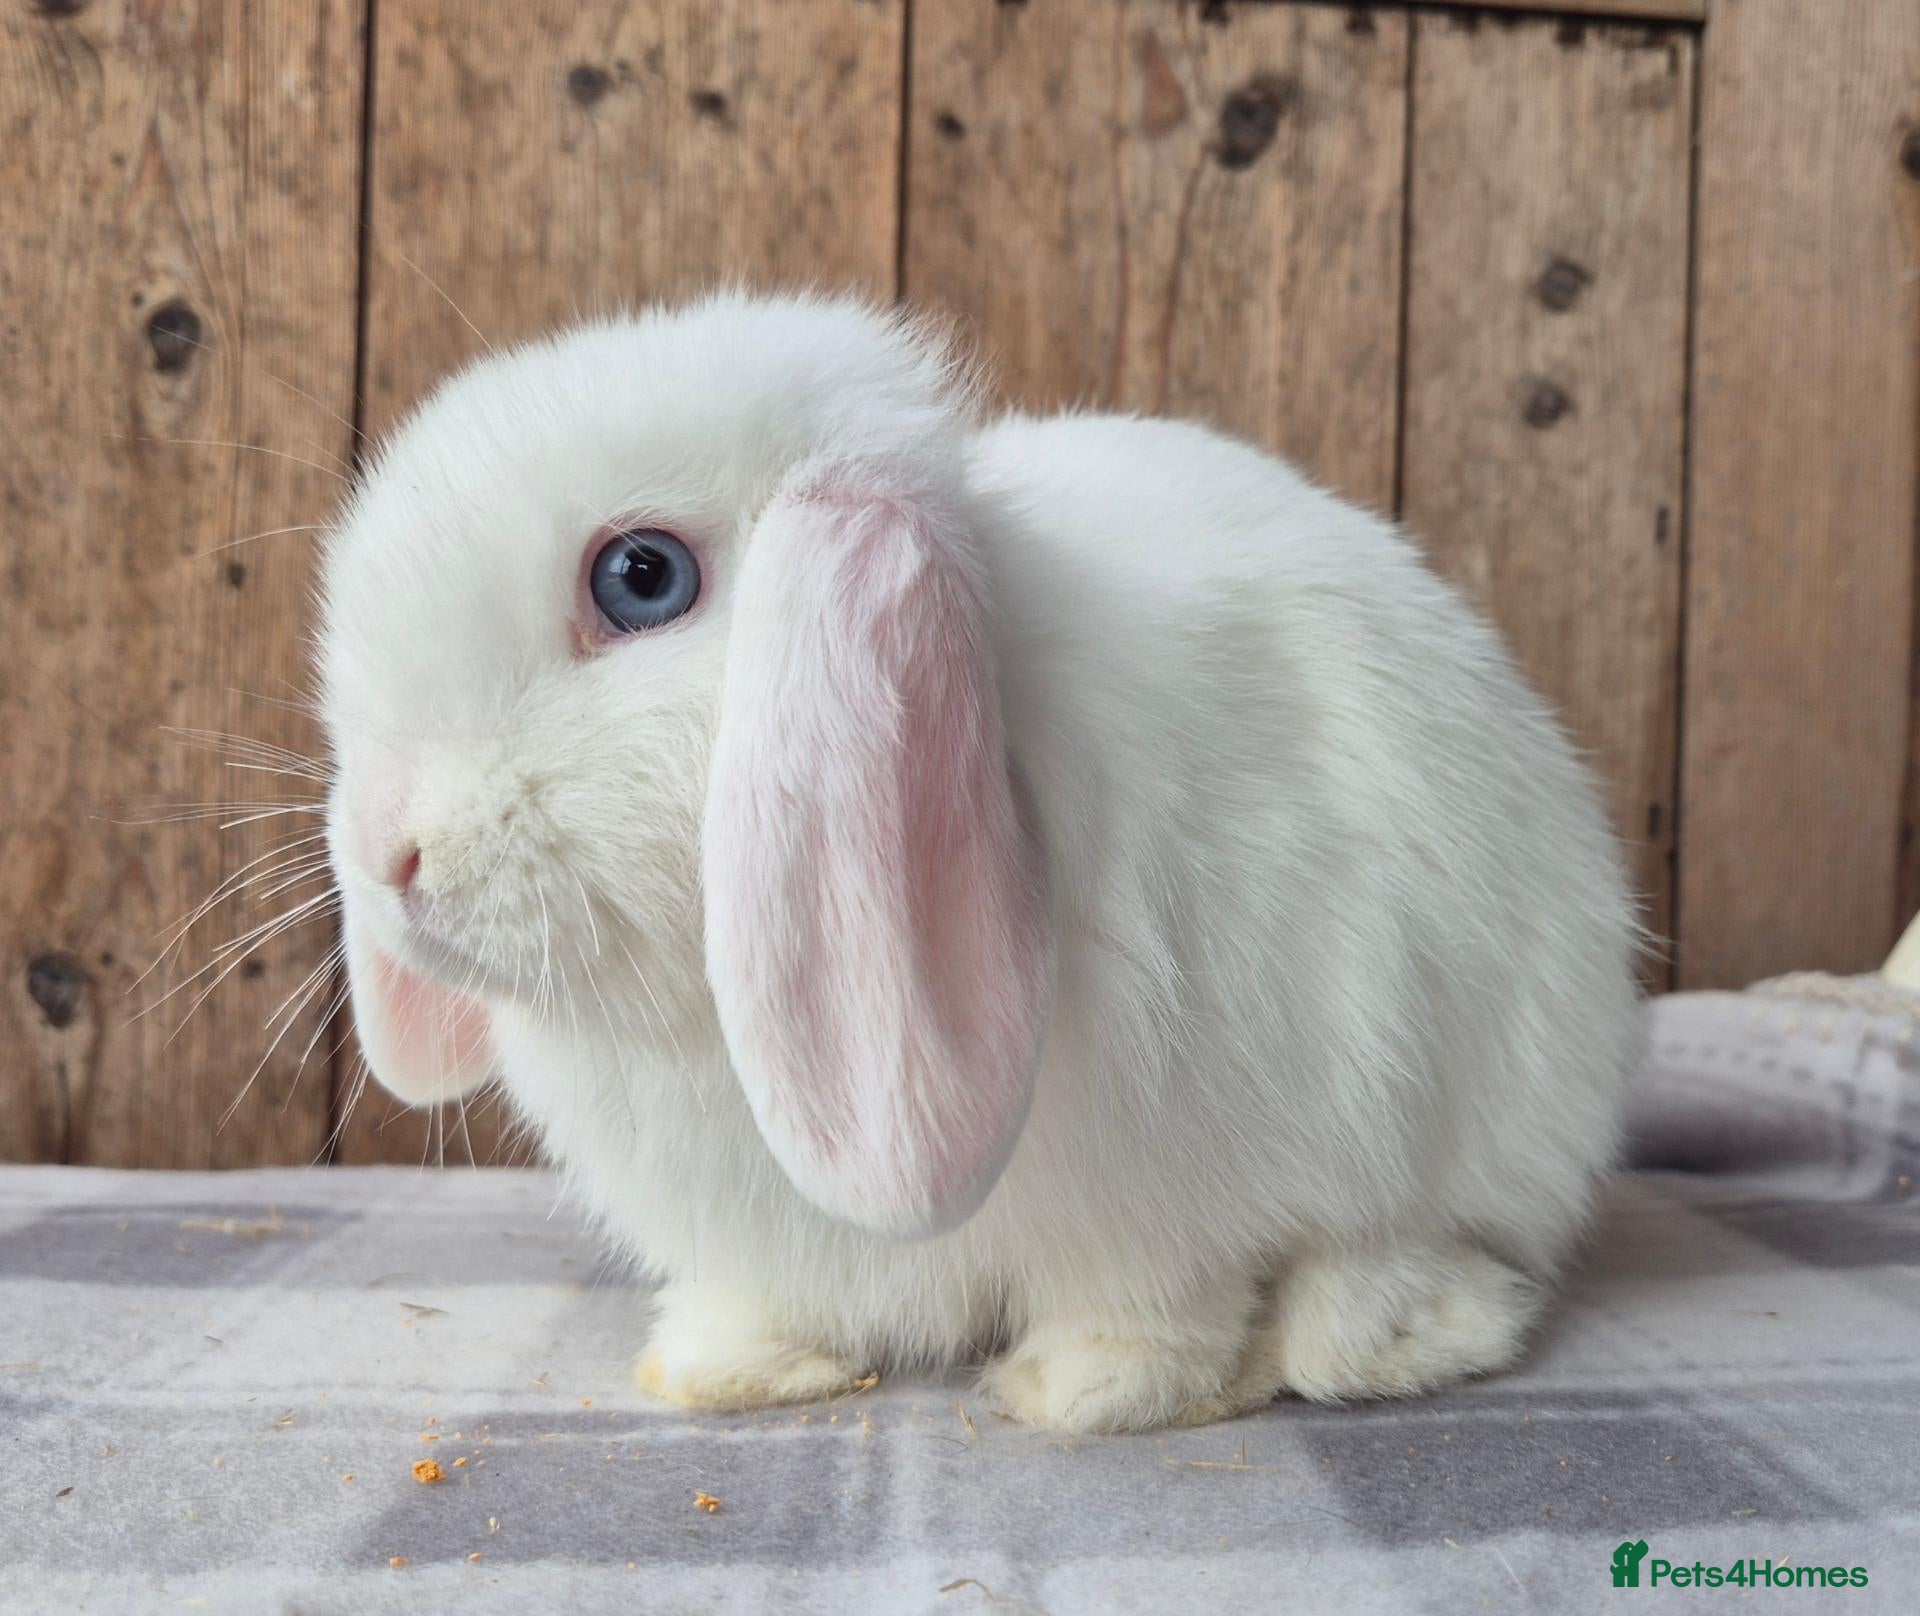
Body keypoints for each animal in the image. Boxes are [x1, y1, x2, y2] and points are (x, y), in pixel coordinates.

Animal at [319, 290, 1642, 1434]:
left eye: (641, 577)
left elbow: (1160, 1304)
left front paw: (1085, 1388)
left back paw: (1372, 1329)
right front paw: (726, 1367)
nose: (390, 854)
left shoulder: (1177, 1190)